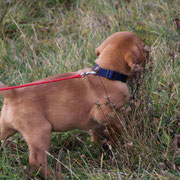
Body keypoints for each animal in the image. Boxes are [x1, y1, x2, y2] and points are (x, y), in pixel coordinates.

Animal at [0, 31, 149, 178]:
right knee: (37, 161)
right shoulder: (105, 113)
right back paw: (57, 175)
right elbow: (120, 122)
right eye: (142, 44)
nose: (149, 49)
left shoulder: (96, 123)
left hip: (4, 128)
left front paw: (99, 147)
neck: (106, 72)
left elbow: (97, 133)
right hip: (40, 132)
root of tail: (12, 94)